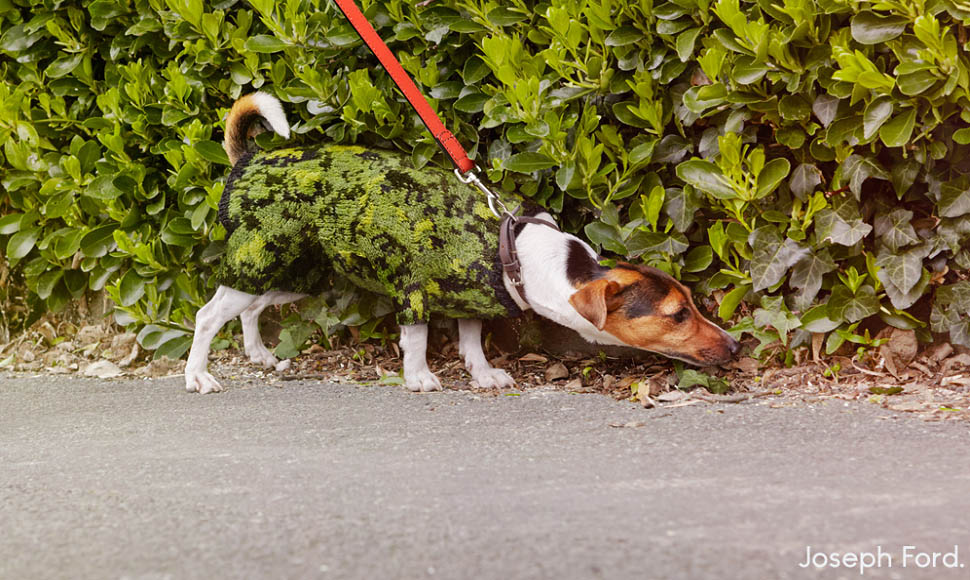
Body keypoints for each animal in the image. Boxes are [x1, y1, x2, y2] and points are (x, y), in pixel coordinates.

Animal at [185, 94, 736, 394]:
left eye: (692, 305)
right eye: (676, 316)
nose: (735, 345)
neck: (522, 252)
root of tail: (250, 160)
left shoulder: (473, 299)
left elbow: (472, 340)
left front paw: (483, 373)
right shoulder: (414, 295)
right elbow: (417, 340)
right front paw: (420, 377)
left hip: (297, 274)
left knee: (251, 308)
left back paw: (259, 353)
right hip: (262, 257)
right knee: (208, 316)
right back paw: (199, 376)